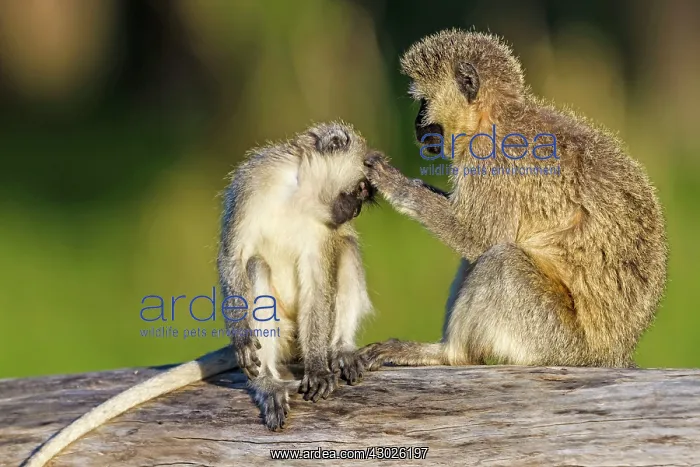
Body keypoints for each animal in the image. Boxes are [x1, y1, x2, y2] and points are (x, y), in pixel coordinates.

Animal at [22, 121, 375, 467]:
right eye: (360, 188)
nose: (356, 210)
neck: (299, 196)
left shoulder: (323, 228)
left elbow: (319, 281)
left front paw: (318, 367)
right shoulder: (253, 182)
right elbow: (233, 256)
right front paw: (243, 337)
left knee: (345, 248)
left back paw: (340, 350)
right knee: (256, 267)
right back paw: (267, 384)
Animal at [359, 29, 668, 370]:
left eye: (423, 102)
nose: (415, 124)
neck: (492, 118)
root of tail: (609, 354)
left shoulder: (492, 161)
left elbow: (480, 237)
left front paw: (397, 185)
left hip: (549, 337)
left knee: (501, 260)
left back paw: (450, 354)